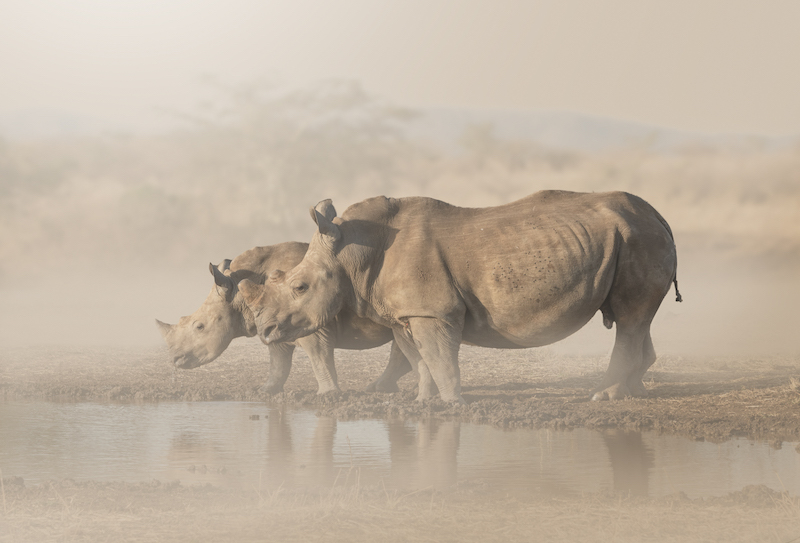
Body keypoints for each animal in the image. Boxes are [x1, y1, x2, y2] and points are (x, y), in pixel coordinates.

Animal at [155, 242, 412, 395]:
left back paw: (375, 390)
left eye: (199, 326)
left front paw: (328, 395)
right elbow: (278, 363)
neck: (237, 292)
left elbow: (319, 357)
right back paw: (377, 389)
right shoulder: (273, 324)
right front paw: (264, 391)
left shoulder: (309, 320)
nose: (175, 360)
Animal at [238, 191, 682, 404]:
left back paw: (604, 396)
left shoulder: (433, 311)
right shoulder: (407, 313)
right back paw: (636, 392)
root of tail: (662, 216)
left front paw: (453, 404)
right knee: (634, 317)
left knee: (629, 316)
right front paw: (424, 402)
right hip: (632, 235)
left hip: (639, 237)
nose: (266, 329)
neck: (351, 253)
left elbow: (439, 358)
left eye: (299, 287)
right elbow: (420, 359)